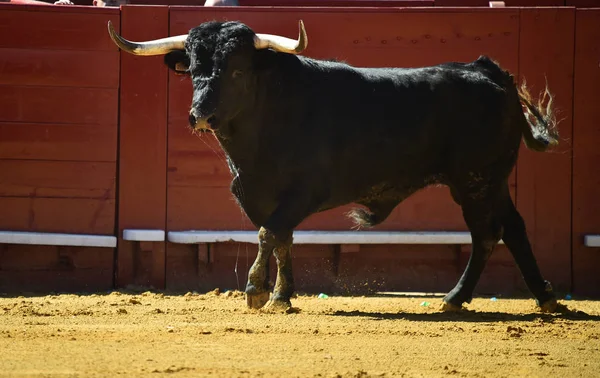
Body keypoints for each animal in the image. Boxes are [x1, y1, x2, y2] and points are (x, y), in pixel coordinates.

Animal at [108, 19, 564, 312]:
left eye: (237, 71)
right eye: (192, 69)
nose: (200, 115)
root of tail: (487, 70)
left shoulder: (303, 192)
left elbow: (269, 233)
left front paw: (256, 291)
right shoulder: (257, 195)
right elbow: (283, 238)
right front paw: (282, 296)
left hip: (475, 181)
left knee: (487, 232)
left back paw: (455, 299)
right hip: (491, 181)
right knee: (512, 227)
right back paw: (543, 298)